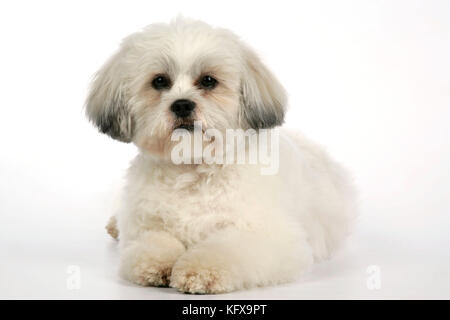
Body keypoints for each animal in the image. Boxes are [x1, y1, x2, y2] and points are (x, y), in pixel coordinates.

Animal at [86, 16, 356, 292]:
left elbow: (224, 251)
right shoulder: (145, 226)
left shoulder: (273, 238)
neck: (192, 168)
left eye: (208, 81)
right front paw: (156, 266)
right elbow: (151, 245)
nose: (182, 104)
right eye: (159, 81)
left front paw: (199, 270)